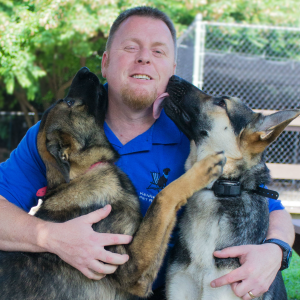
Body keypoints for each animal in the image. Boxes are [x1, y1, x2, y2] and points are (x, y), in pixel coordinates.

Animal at [0, 68, 226, 300]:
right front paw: (202, 168)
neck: (83, 173)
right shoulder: (131, 270)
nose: (84, 70)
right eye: (70, 102)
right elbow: (164, 197)